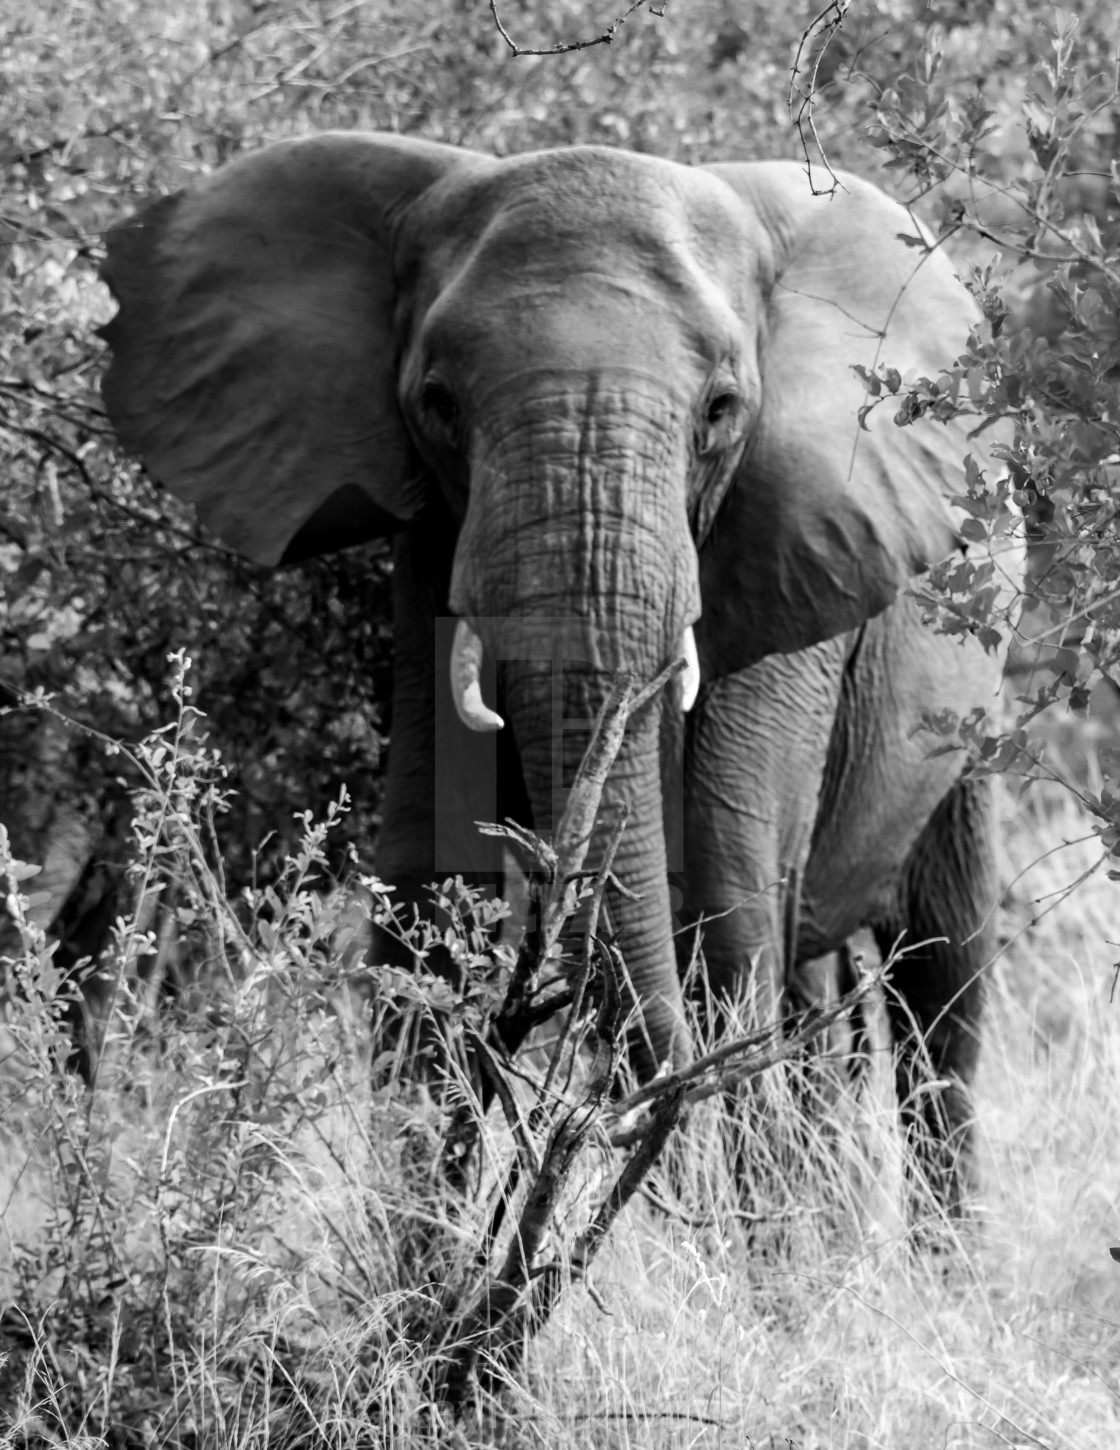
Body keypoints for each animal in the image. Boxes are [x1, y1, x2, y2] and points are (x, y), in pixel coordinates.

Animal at [98, 133, 1015, 1212]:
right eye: (437, 403)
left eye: (721, 409)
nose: (612, 1133)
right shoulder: (430, 550)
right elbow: (431, 892)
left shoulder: (797, 543)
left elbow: (730, 891)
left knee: (939, 984)